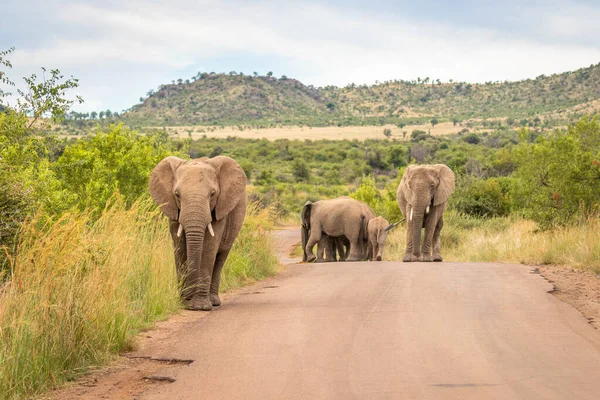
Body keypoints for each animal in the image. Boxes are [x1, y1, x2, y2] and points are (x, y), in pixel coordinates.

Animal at [149, 155, 247, 310]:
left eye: (212, 194)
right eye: (177, 194)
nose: (188, 300)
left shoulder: (220, 210)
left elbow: (208, 249)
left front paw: (201, 307)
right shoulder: (174, 211)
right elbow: (180, 249)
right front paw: (184, 303)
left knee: (220, 258)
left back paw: (214, 302)